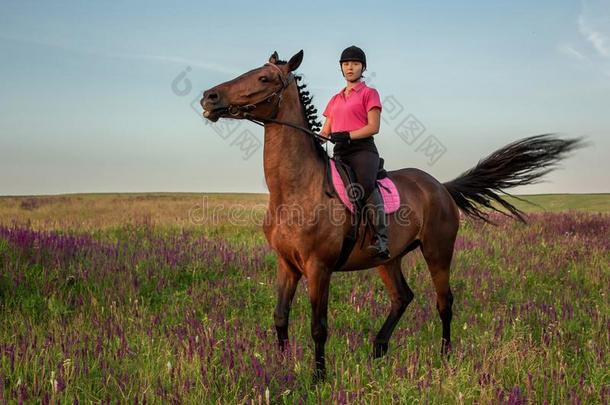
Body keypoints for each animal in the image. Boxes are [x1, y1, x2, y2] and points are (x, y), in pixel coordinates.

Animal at [198, 49, 580, 378]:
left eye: (263, 78)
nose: (209, 98)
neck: (296, 187)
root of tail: (440, 186)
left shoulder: (319, 268)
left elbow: (318, 327)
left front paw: (318, 377)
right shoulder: (286, 264)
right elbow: (280, 317)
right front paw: (281, 366)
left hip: (438, 251)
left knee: (445, 302)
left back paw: (445, 354)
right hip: (388, 258)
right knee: (402, 297)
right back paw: (379, 348)